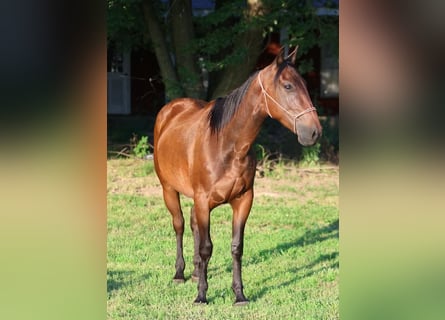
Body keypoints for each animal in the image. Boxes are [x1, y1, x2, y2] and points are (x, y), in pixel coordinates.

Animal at [154, 47, 320, 304]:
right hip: (169, 190)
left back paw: (195, 271)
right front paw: (202, 295)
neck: (226, 144)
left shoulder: (243, 200)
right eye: (288, 86)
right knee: (179, 225)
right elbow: (207, 247)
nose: (314, 132)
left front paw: (239, 294)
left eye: (304, 83)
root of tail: (171, 109)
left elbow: (236, 247)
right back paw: (180, 273)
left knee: (192, 224)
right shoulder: (203, 201)